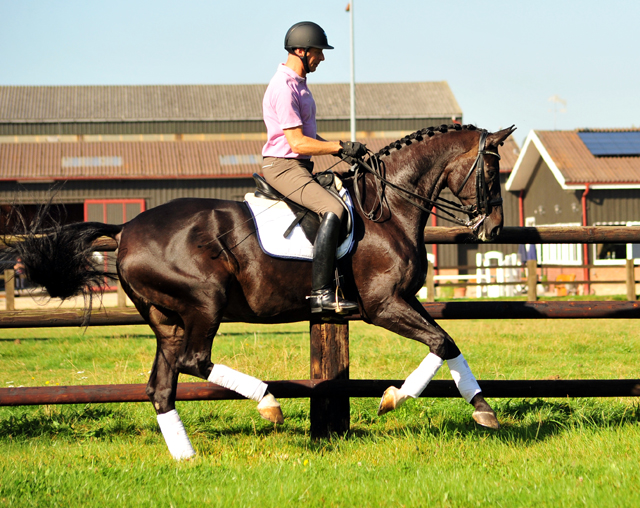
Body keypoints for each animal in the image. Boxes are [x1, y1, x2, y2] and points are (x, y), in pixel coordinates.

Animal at [7, 124, 516, 460]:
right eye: (493, 172)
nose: (492, 229)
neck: (386, 209)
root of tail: (126, 228)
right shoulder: (382, 305)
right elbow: (441, 342)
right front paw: (395, 398)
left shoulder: (402, 302)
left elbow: (447, 343)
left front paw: (482, 410)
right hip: (205, 302)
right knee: (194, 361)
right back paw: (267, 403)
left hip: (167, 320)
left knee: (161, 386)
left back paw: (185, 456)